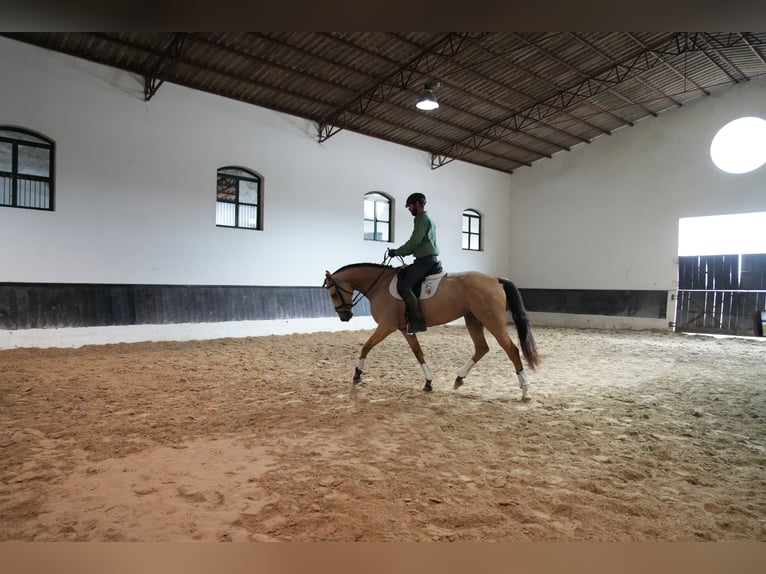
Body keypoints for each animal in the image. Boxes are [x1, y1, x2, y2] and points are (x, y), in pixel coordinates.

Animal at [322, 258, 540, 402]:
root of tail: (495, 279)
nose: (345, 316)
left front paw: (357, 374)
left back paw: (525, 390)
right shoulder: (404, 329)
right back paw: (459, 378)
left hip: (491, 320)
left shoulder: (386, 326)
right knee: (481, 348)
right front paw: (428, 382)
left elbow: (366, 346)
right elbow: (418, 353)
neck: (380, 285)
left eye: (332, 293)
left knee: (511, 349)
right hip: (473, 319)